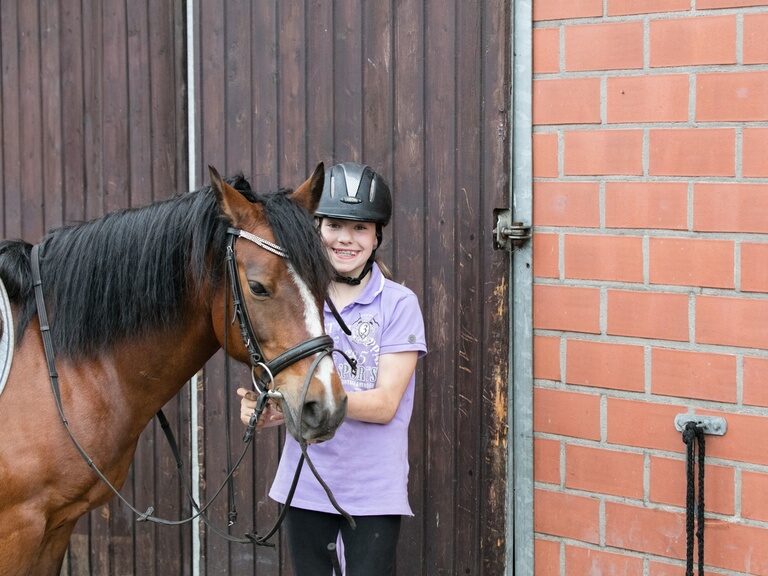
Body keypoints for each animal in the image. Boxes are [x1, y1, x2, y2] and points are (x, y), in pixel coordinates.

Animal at [0, 164, 347, 575]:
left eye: (323, 282)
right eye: (258, 287)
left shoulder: (57, 526)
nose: (325, 405)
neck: (52, 362)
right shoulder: (18, 529)